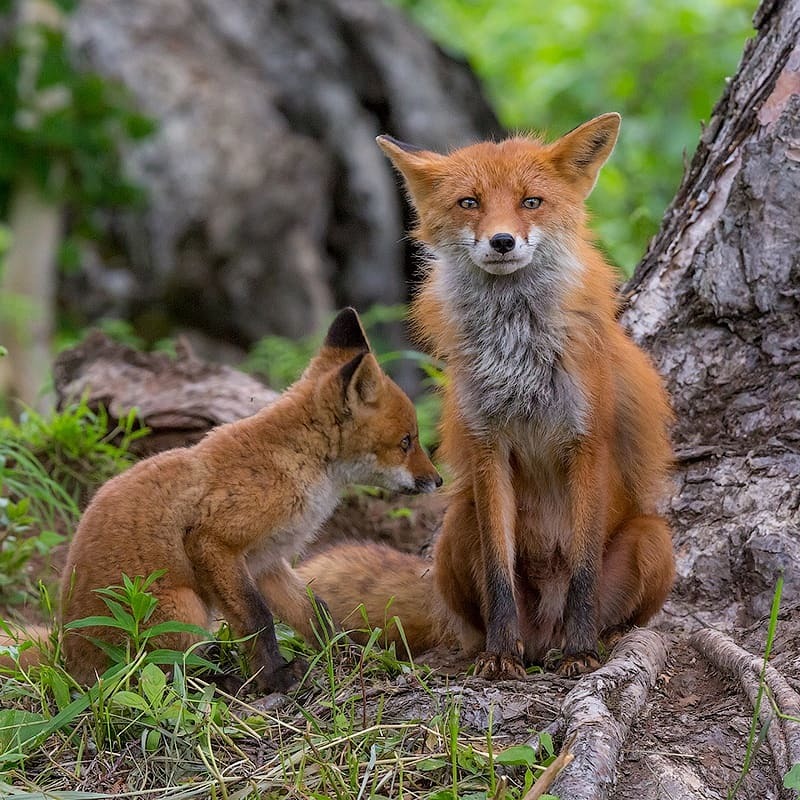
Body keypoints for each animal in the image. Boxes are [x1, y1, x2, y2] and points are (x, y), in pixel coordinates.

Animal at [1, 310, 444, 692]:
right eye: (407, 442)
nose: (438, 480)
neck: (296, 461)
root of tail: (65, 656)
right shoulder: (214, 542)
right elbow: (258, 619)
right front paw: (274, 679)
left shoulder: (266, 561)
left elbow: (314, 612)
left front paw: (348, 657)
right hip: (185, 609)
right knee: (158, 674)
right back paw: (220, 680)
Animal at [300, 114, 676, 676]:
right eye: (469, 203)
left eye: (531, 202)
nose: (501, 241)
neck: (518, 356)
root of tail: (543, 635)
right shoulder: (488, 445)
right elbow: (499, 570)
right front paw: (500, 656)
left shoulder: (587, 445)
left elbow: (584, 571)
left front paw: (582, 652)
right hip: (458, 526)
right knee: (467, 621)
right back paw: (494, 647)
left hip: (656, 540)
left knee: (615, 606)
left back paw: (596, 640)